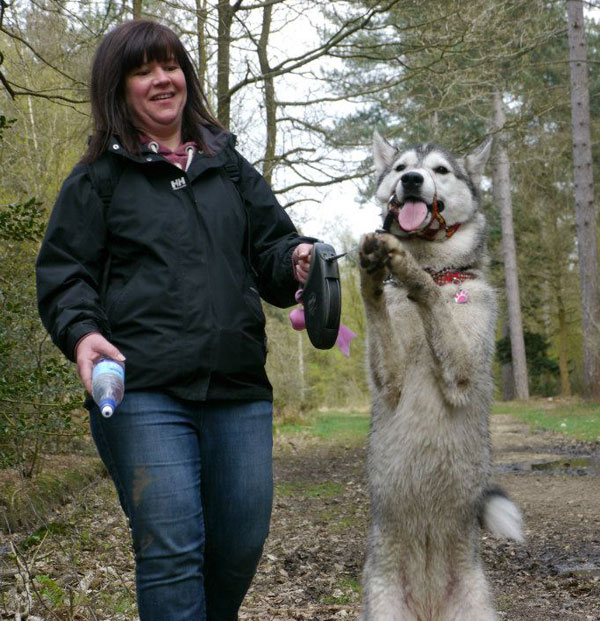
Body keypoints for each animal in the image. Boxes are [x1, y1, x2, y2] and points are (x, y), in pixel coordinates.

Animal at [358, 132, 524, 620]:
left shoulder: (461, 371)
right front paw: (371, 271)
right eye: (400, 168)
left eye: (440, 170)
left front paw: (411, 273)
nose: (412, 180)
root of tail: (429, 607)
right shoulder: (388, 377)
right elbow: (376, 304)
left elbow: (429, 294)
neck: (437, 266)